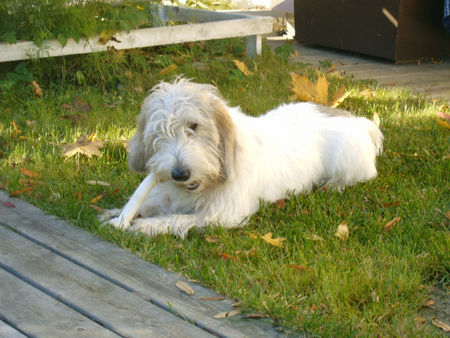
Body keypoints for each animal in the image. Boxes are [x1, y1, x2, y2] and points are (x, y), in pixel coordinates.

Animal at [102, 78, 384, 238]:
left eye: (193, 126)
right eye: (159, 132)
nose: (180, 174)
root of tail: (360, 121)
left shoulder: (224, 215)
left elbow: (178, 220)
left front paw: (146, 226)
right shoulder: (171, 194)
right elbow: (152, 202)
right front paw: (118, 214)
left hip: (347, 160)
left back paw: (332, 185)